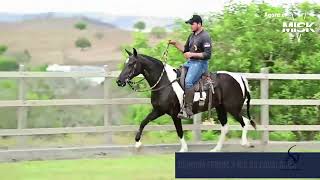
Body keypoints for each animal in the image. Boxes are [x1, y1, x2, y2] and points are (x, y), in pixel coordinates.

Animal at [116, 48, 256, 152]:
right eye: (125, 63)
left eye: (131, 64)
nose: (119, 81)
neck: (165, 82)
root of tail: (240, 78)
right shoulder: (158, 111)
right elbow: (143, 122)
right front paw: (137, 143)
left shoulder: (175, 114)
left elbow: (179, 131)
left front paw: (183, 148)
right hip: (220, 108)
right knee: (225, 126)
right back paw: (216, 149)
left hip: (232, 108)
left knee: (245, 121)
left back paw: (245, 143)